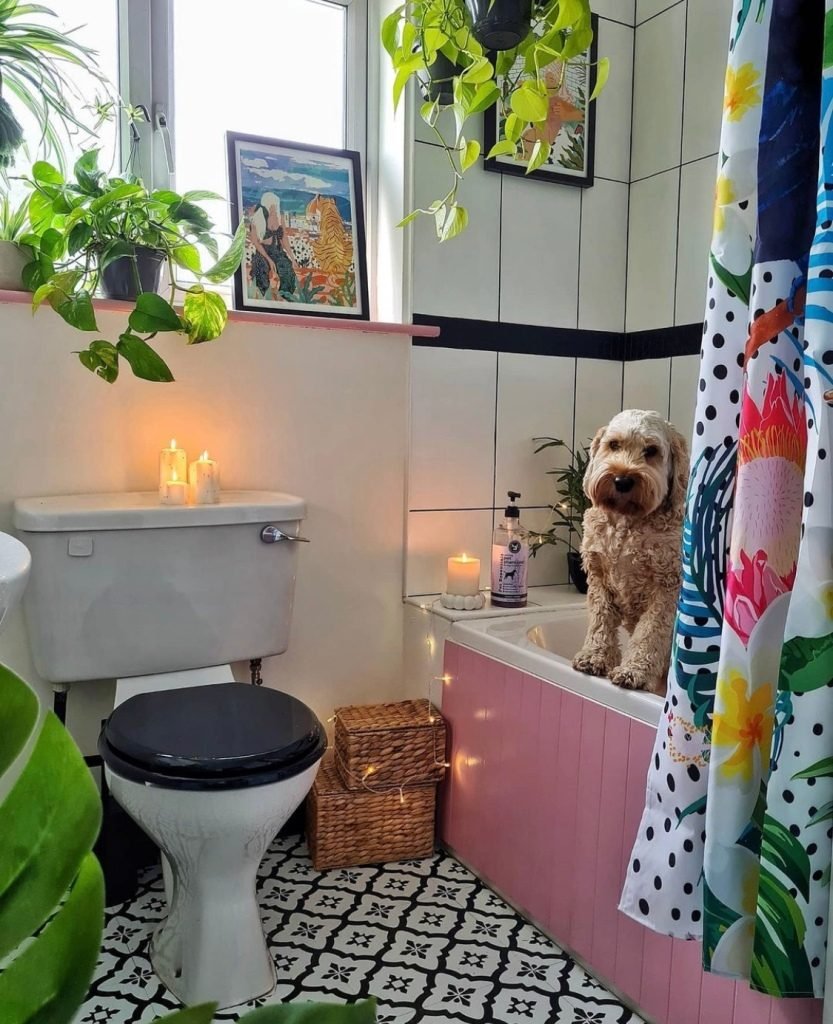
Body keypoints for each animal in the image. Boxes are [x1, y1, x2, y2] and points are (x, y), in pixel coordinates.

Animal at [573, 411, 688, 692]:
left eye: (651, 451)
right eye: (614, 445)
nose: (622, 480)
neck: (627, 522)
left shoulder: (666, 588)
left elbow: (650, 633)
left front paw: (634, 671)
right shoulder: (599, 579)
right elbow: (600, 622)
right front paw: (594, 656)